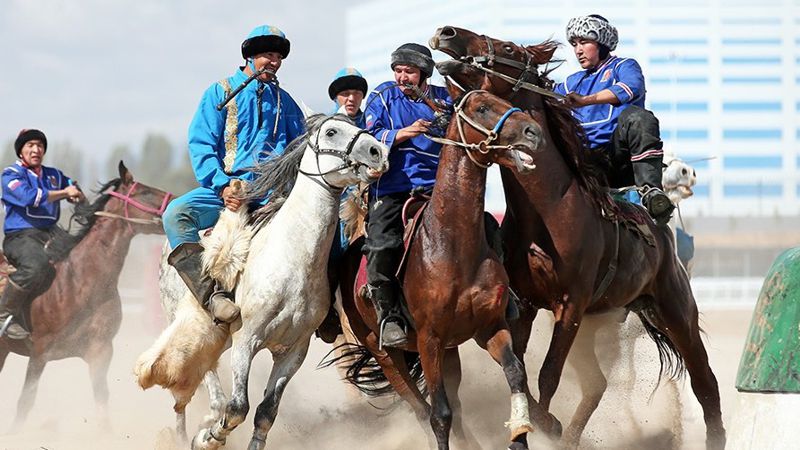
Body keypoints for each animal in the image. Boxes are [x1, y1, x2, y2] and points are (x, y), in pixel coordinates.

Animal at [0, 163, 170, 428]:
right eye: (144, 191)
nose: (176, 201)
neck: (79, 281)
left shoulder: (100, 351)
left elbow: (101, 400)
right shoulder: (39, 353)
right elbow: (25, 402)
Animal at [338, 88, 544, 450]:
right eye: (482, 107)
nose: (533, 131)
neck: (453, 247)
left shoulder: (490, 327)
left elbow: (515, 374)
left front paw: (519, 435)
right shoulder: (429, 340)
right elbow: (439, 414)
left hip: (449, 352)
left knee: (456, 406)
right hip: (385, 353)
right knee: (422, 408)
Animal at [434, 26, 728, 448]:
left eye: (508, 48)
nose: (447, 33)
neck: (550, 211)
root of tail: (662, 235)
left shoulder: (570, 305)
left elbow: (548, 375)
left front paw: (548, 425)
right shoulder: (526, 304)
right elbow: (521, 371)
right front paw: (545, 426)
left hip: (676, 309)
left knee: (705, 382)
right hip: (601, 323)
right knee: (596, 384)